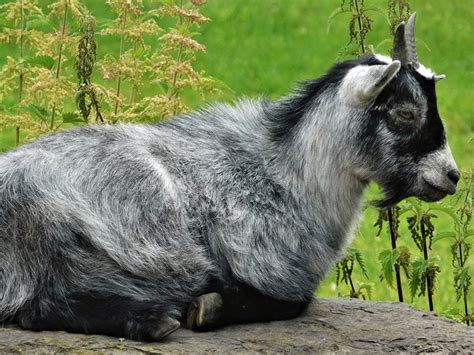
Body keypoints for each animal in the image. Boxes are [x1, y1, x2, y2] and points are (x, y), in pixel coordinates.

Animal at [0, 14, 460, 342]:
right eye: (405, 112)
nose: (451, 175)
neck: (283, 174)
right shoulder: (267, 269)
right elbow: (292, 302)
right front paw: (207, 306)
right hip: (59, 239)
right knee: (40, 307)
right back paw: (154, 319)